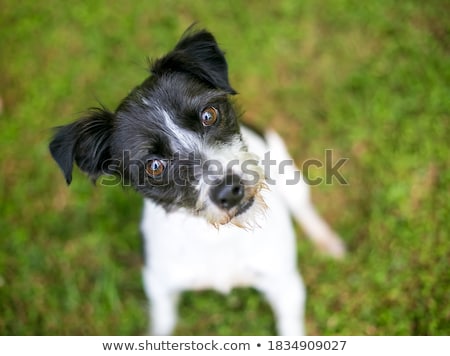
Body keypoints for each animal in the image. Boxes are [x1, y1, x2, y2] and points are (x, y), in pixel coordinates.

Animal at [49, 27, 344, 334]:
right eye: (155, 166)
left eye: (208, 114)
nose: (230, 191)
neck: (216, 236)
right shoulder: (160, 290)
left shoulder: (285, 285)